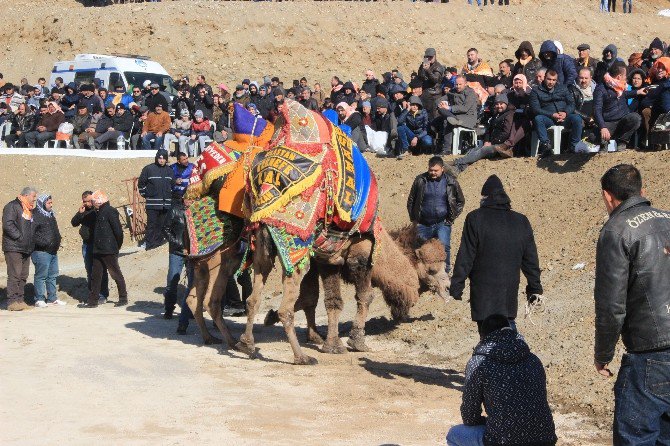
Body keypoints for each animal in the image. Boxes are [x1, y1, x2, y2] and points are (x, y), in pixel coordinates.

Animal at [236, 223, 452, 366]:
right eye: (432, 270)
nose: (448, 286)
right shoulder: (355, 261)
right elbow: (361, 298)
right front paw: (353, 342)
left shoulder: (320, 263)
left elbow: (313, 299)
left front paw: (316, 336)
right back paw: (300, 356)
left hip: (264, 253)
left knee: (253, 298)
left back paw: (246, 343)